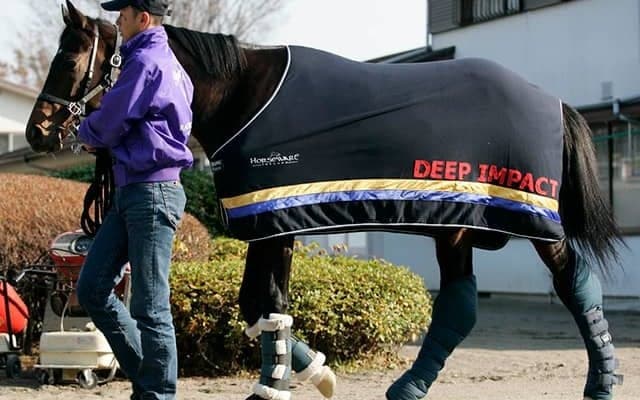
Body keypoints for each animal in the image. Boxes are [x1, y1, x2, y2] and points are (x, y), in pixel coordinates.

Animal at [26, 2, 624, 399]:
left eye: (69, 61)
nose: (37, 131)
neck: (244, 93)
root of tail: (555, 102)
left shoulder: (276, 222)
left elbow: (267, 302)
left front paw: (276, 386)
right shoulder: (270, 223)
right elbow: (258, 306)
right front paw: (314, 373)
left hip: (528, 219)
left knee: (573, 282)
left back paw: (603, 381)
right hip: (456, 225)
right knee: (461, 305)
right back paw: (408, 387)